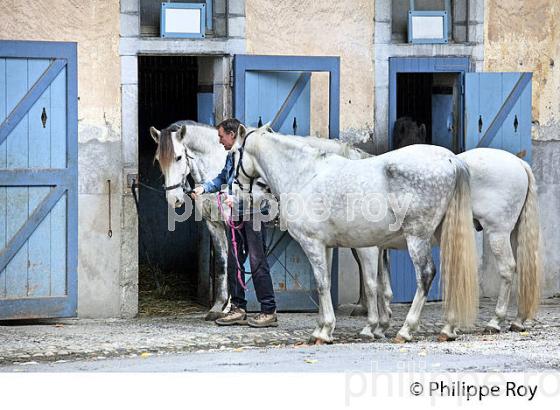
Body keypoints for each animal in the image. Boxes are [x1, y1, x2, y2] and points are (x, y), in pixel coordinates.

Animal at [151, 120, 392, 338]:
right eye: (159, 160)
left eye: (179, 157)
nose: (174, 200)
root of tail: (361, 157)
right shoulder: (215, 225)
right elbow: (222, 264)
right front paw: (219, 307)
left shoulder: (232, 224)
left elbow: (234, 264)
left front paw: (229, 307)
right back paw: (372, 310)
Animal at [233, 125, 482, 342]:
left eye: (234, 153)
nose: (235, 191)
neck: (305, 175)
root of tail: (451, 159)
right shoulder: (328, 246)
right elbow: (328, 283)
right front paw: (323, 328)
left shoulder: (315, 243)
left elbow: (325, 283)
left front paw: (326, 331)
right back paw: (448, 329)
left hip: (417, 238)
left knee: (426, 275)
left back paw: (406, 330)